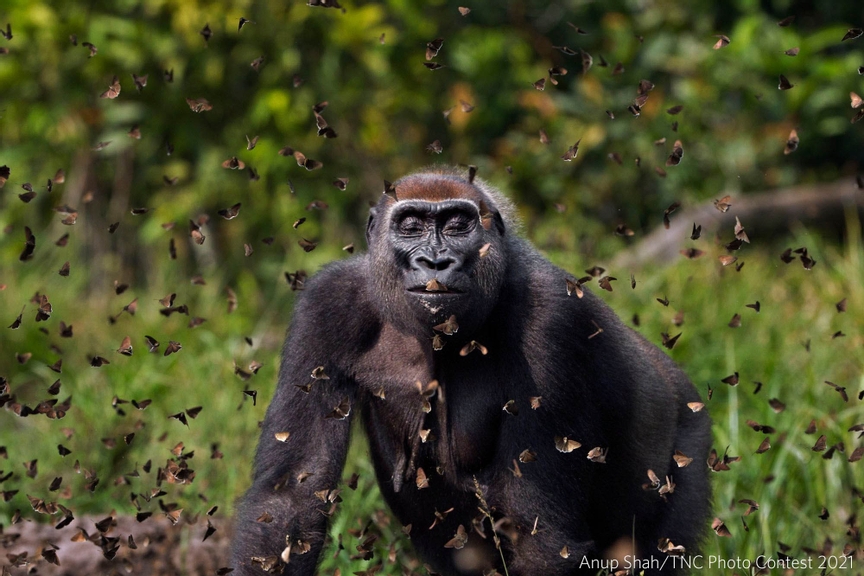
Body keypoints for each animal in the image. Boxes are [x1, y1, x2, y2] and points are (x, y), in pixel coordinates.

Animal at [230, 164, 708, 572]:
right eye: (411, 225)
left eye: (458, 224)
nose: (435, 262)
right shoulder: (327, 305)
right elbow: (291, 498)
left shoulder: (552, 316)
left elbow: (542, 534)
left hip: (690, 438)